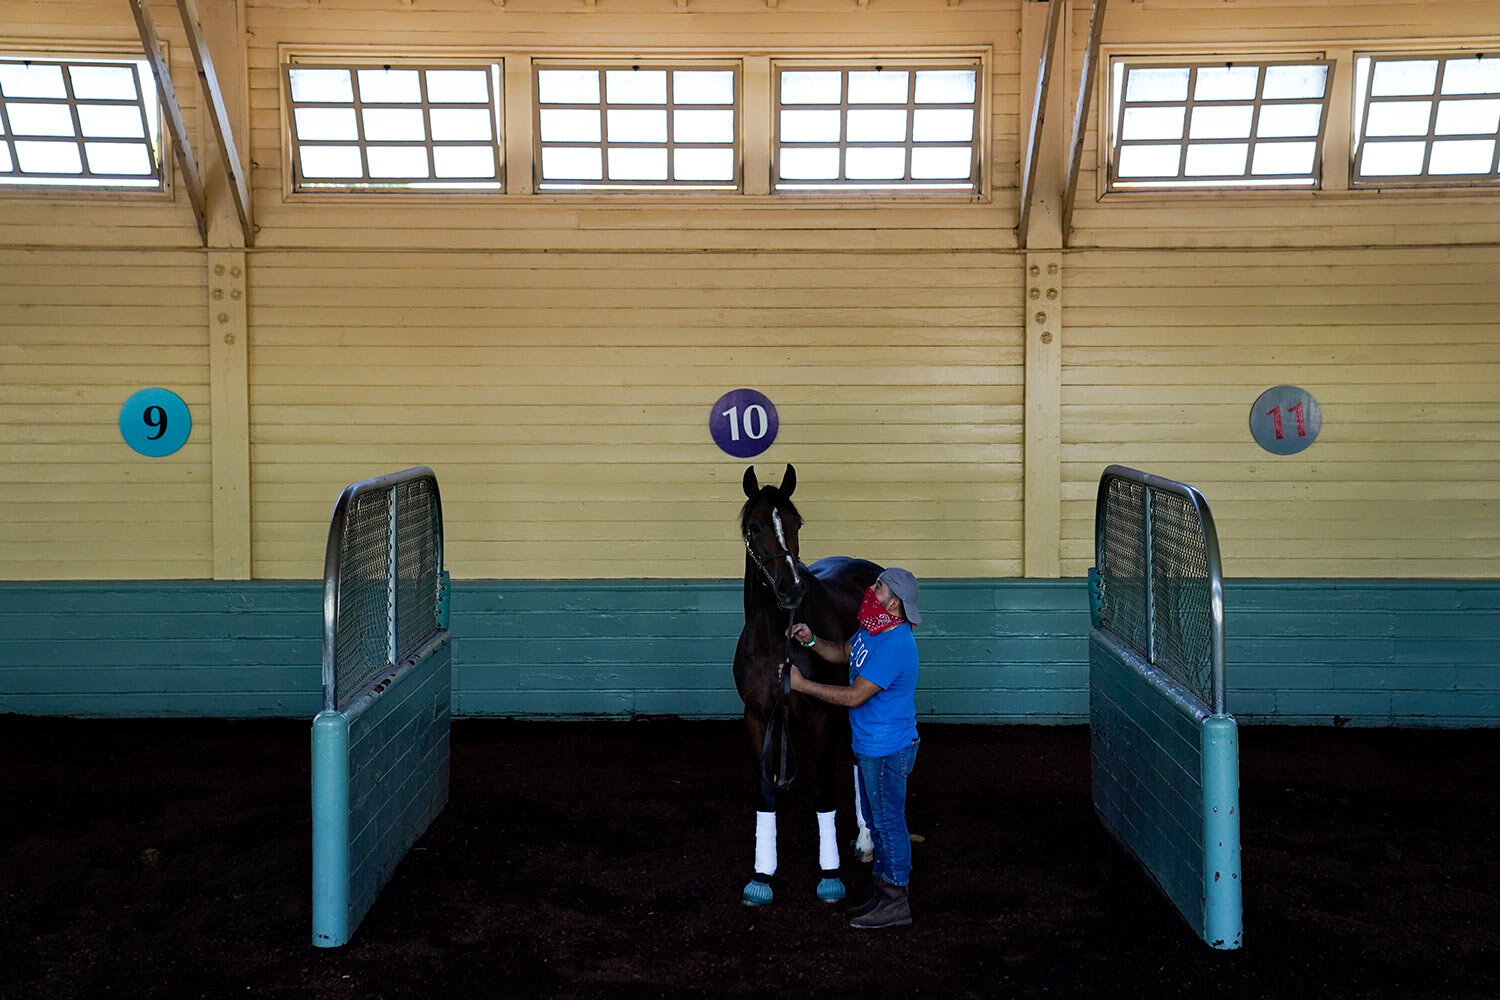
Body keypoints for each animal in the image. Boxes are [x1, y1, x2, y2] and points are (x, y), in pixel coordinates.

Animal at [735, 464, 882, 905]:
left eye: (796, 522)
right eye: (754, 527)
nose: (791, 589)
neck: (774, 640)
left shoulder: (822, 717)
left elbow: (821, 792)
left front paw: (829, 875)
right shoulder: (757, 717)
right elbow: (766, 793)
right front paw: (762, 876)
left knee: (861, 760)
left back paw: (866, 842)